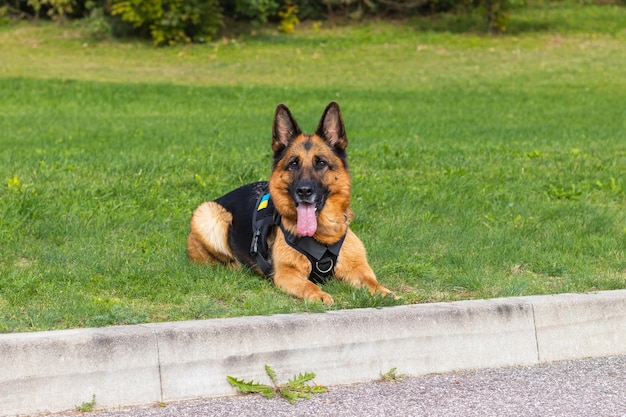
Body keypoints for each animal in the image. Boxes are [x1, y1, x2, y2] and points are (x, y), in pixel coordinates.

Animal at [186, 102, 390, 304]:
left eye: (321, 163)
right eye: (293, 164)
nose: (304, 191)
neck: (324, 237)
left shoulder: (357, 268)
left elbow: (371, 281)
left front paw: (384, 291)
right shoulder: (287, 274)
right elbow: (309, 285)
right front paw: (319, 295)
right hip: (207, 214)